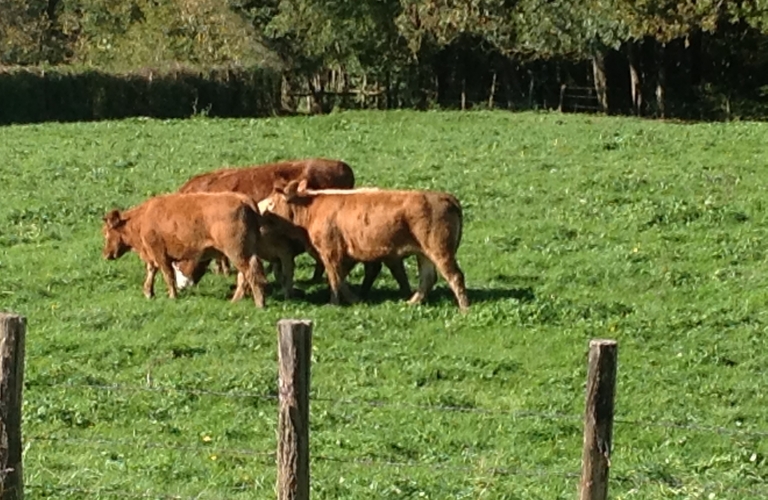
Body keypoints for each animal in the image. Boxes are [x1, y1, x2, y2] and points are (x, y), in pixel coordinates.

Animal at [100, 191, 270, 306]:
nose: (106, 254)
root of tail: (243, 199)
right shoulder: (152, 254)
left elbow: (168, 275)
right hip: (244, 252)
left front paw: (172, 296)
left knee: (251, 273)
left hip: (237, 252)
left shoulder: (160, 254)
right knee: (244, 275)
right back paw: (236, 300)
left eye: (106, 232)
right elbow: (151, 272)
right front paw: (149, 292)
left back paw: (259, 303)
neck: (142, 219)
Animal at [260, 182, 472, 310]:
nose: (261, 213)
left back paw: (464, 307)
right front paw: (355, 299)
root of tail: (444, 196)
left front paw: (335, 302)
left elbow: (335, 278)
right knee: (428, 278)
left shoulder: (330, 251)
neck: (313, 209)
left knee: (454, 276)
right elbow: (339, 278)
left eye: (271, 203)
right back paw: (412, 302)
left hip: (439, 249)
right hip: (424, 253)